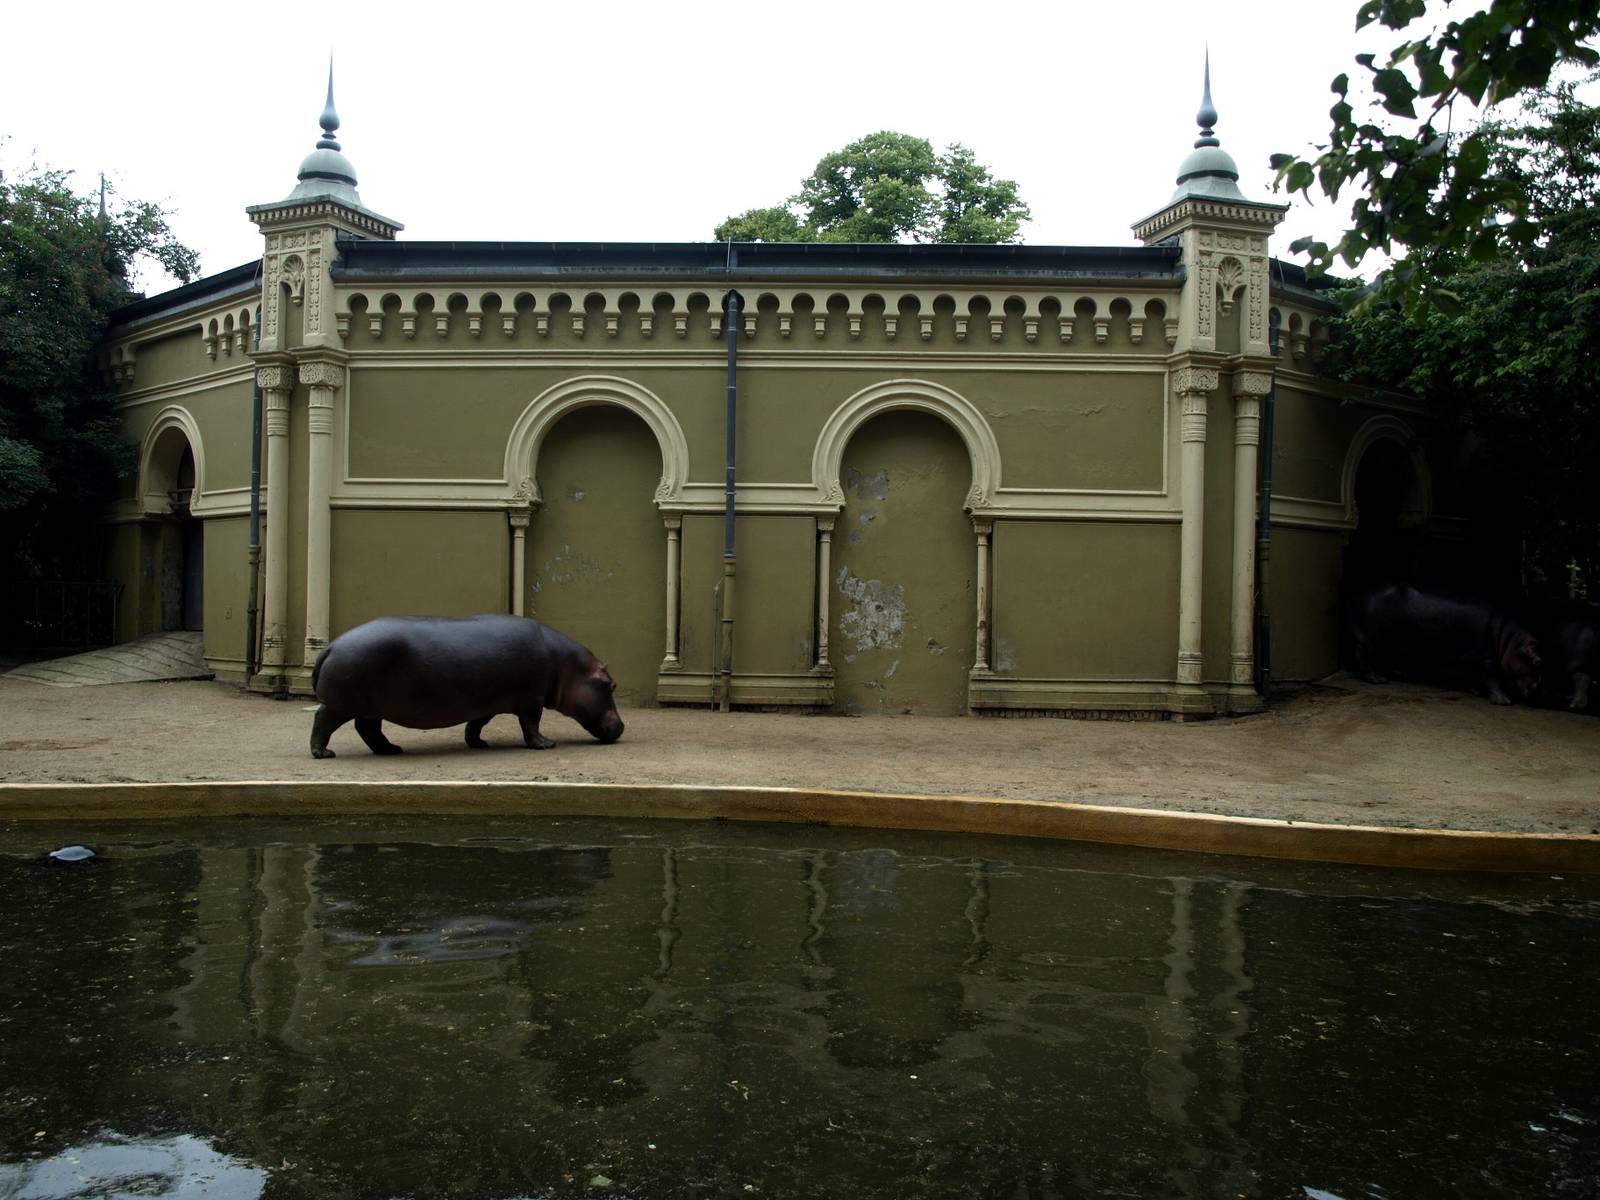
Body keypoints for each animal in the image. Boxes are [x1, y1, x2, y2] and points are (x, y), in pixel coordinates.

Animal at [309, 614, 623, 758]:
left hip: (371, 707)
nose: (621, 727)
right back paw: (323, 753)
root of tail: (332, 646)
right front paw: (546, 744)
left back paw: (392, 749)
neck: (567, 665)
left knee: (368, 729)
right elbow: (531, 725)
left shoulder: (488, 702)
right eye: (610, 685)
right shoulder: (531, 699)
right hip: (341, 704)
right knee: (323, 720)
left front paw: (479, 744)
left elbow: (476, 724)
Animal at [1346, 582, 1542, 705]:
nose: (1538, 691)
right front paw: (1503, 701)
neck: (1509, 640)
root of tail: (1362, 595)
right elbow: (1493, 678)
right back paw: (1378, 680)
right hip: (1373, 641)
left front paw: (1476, 691)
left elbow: (1475, 676)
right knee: (1362, 657)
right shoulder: (1486, 657)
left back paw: (1397, 673)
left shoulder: (1472, 658)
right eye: (1537, 661)